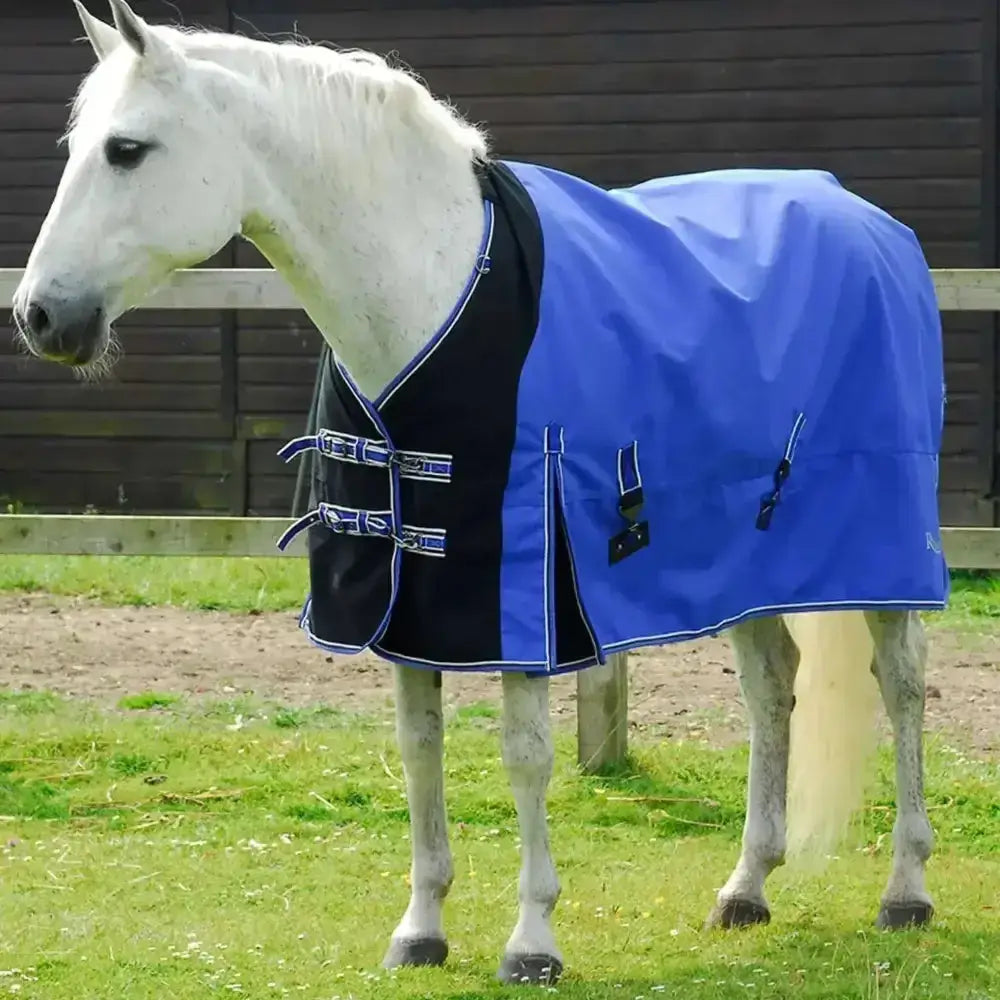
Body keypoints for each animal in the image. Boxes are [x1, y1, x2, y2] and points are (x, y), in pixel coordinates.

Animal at [13, 1, 946, 985]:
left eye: (127, 150)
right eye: (77, 146)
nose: (39, 316)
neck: (427, 289)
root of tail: (869, 221)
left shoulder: (521, 595)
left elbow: (525, 757)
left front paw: (532, 941)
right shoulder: (406, 594)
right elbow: (420, 753)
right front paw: (420, 928)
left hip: (882, 554)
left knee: (902, 686)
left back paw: (906, 891)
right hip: (742, 561)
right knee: (773, 688)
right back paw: (746, 888)